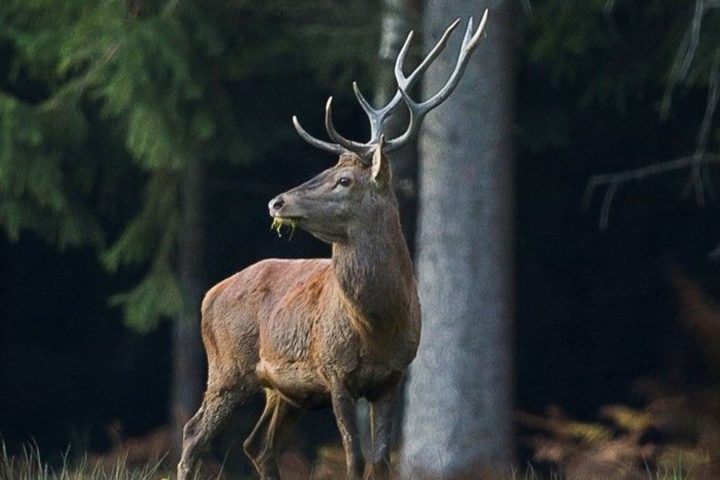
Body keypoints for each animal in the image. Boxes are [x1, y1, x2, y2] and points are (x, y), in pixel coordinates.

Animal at [177, 10, 488, 480]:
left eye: (343, 179)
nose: (277, 201)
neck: (377, 326)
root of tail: (210, 293)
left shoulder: (394, 376)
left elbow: (379, 461)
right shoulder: (334, 370)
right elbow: (353, 457)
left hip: (283, 390)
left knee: (257, 444)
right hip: (228, 366)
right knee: (194, 433)